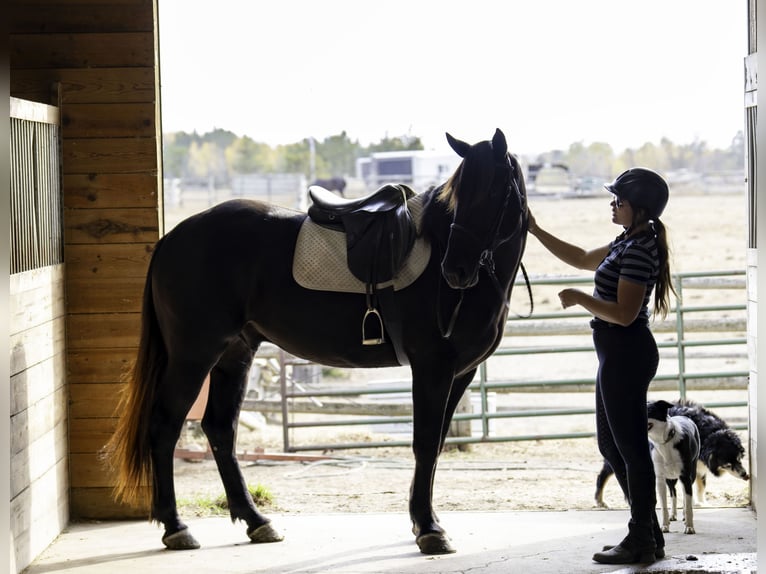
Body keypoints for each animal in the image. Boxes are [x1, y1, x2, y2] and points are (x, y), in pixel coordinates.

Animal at [105, 129, 532, 552]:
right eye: (459, 195)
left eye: (494, 192)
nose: (455, 271)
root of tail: (173, 238)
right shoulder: (432, 368)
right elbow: (424, 444)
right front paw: (429, 528)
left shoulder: (460, 374)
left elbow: (437, 443)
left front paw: (421, 521)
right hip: (193, 355)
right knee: (165, 425)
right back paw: (176, 527)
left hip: (235, 353)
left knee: (220, 429)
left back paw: (256, 521)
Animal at [648, 400, 704, 536]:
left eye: (649, 410)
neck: (665, 443)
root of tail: (684, 416)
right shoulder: (660, 478)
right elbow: (664, 504)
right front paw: (665, 526)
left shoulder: (685, 476)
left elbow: (688, 503)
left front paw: (689, 527)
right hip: (670, 478)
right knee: (673, 492)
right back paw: (673, 515)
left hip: (691, 473)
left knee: (684, 494)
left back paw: (684, 516)